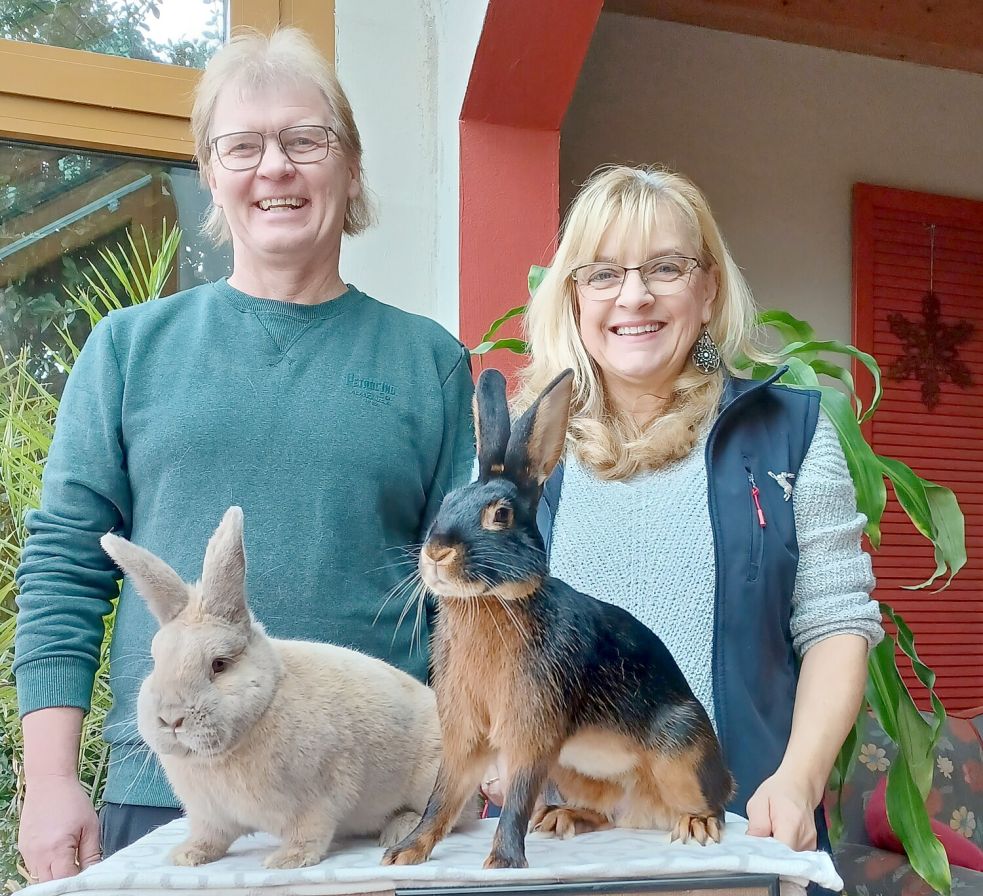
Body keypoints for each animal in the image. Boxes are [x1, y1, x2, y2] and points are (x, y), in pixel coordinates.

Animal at [103, 508, 446, 872]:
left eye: (219, 664)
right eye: (156, 661)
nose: (170, 719)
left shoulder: (320, 799)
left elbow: (309, 833)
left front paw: (286, 861)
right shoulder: (210, 815)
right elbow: (209, 837)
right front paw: (187, 855)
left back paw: (400, 830)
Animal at [388, 370, 736, 868]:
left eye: (500, 515)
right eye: (447, 501)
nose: (436, 552)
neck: (492, 603)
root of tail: (643, 810)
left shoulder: (533, 732)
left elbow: (516, 799)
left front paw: (503, 863)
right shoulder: (467, 736)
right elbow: (442, 798)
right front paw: (405, 852)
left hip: (680, 746)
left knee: (715, 804)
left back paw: (697, 825)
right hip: (574, 771)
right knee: (606, 813)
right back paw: (561, 818)